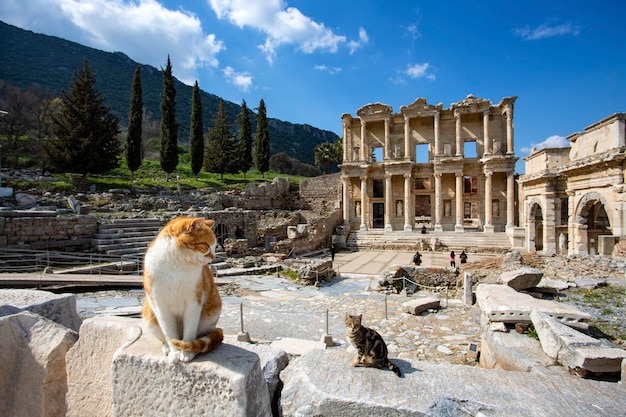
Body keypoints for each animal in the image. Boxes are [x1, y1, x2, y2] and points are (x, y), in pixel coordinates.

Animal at [141, 216, 222, 362]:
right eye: (206, 246)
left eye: (214, 247)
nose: (214, 257)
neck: (177, 265)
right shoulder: (160, 305)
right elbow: (169, 333)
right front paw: (174, 352)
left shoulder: (194, 301)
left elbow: (189, 329)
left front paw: (187, 351)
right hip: (149, 317)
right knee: (164, 337)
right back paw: (167, 347)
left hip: (211, 314)